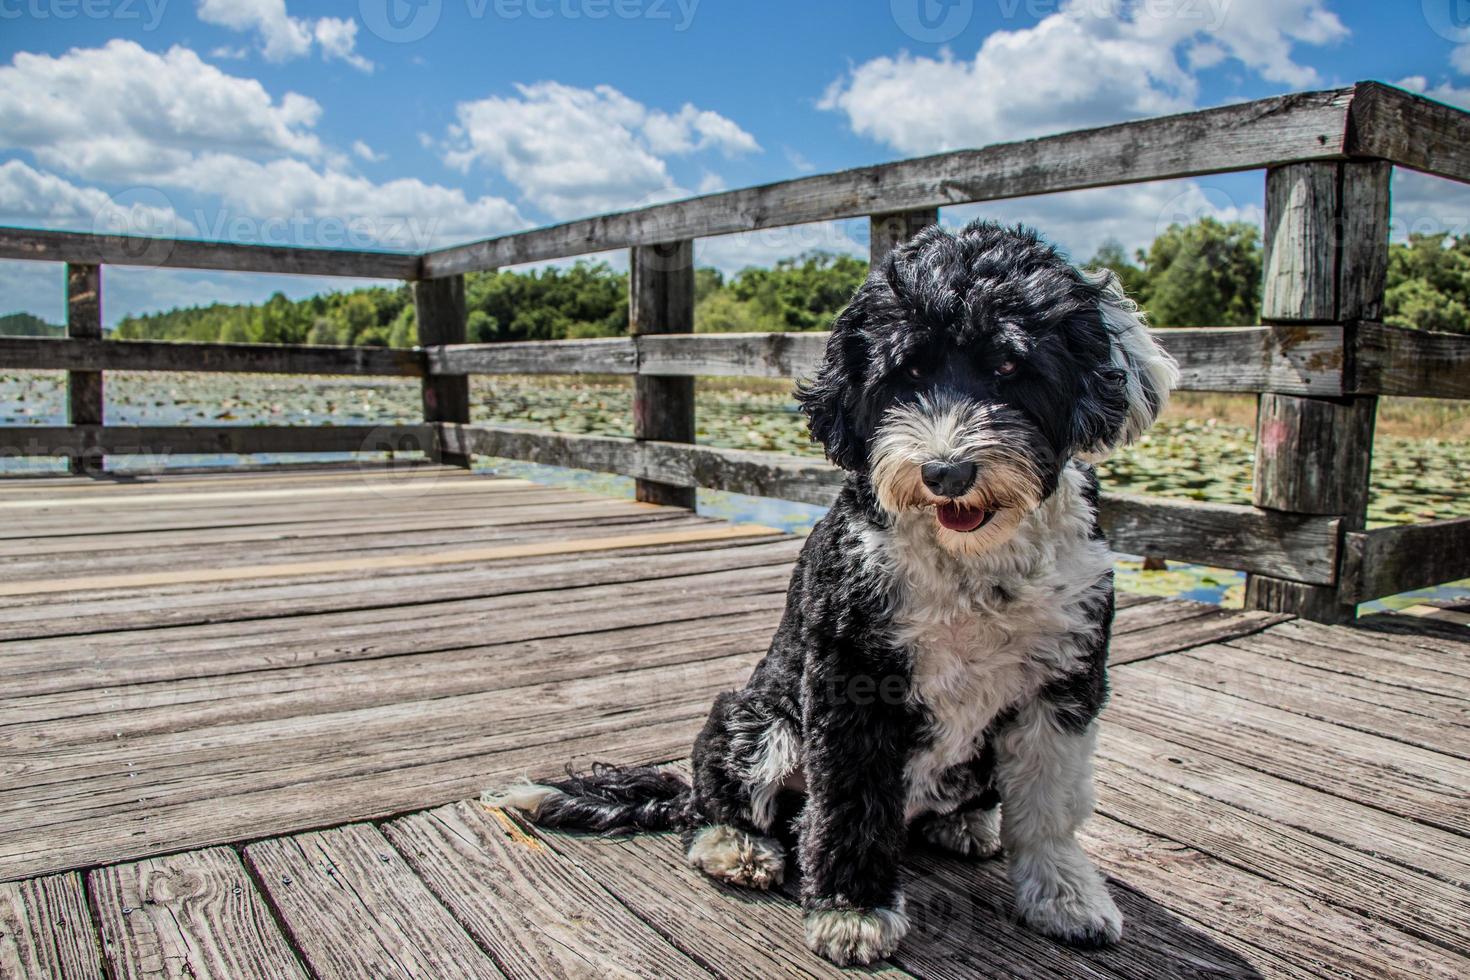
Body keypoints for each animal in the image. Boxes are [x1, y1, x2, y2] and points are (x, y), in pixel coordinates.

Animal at [488, 220, 1176, 963]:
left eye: (1008, 368)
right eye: (907, 375)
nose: (946, 471)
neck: (973, 565)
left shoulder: (1065, 678)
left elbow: (1052, 804)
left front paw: (1065, 896)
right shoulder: (853, 678)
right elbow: (849, 802)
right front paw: (854, 910)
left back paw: (966, 823)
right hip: (753, 722)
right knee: (722, 808)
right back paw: (737, 848)